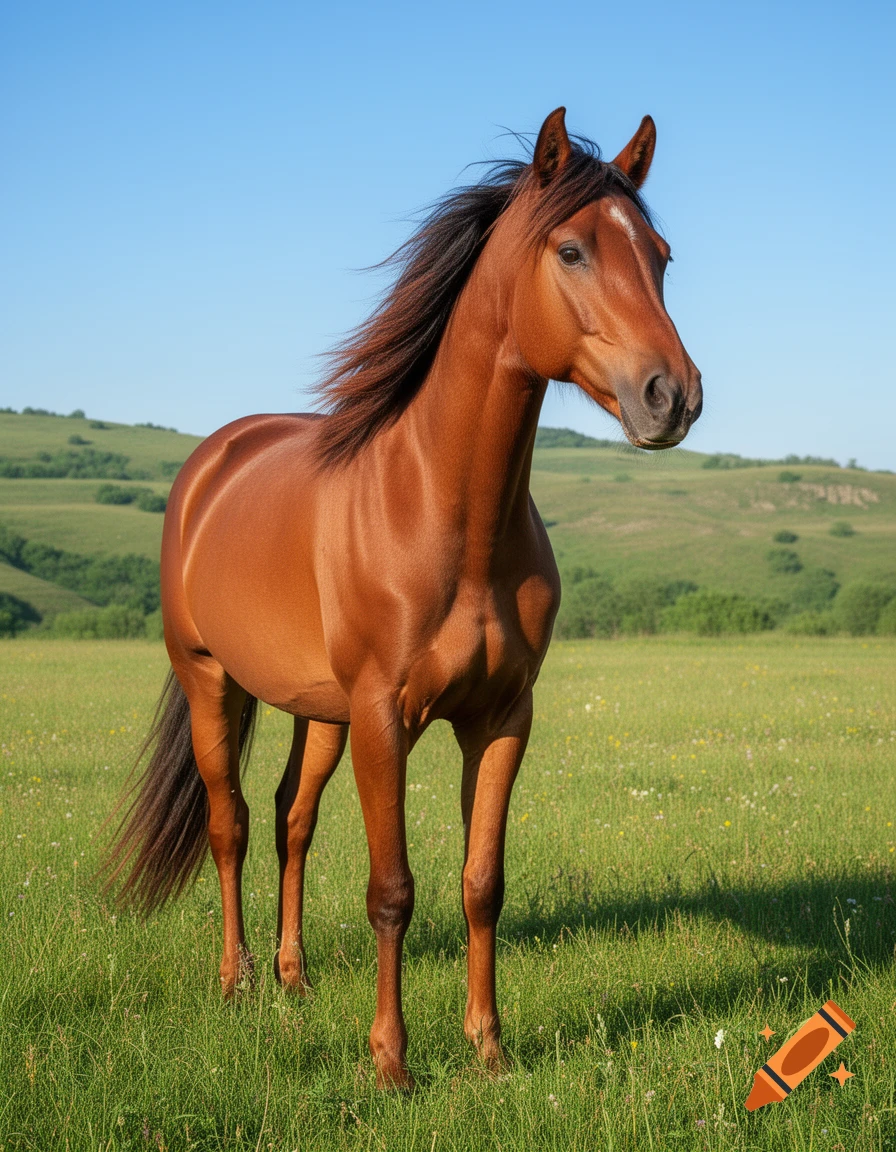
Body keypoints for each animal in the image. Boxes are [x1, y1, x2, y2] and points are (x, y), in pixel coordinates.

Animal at [104, 107, 702, 1089]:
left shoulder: (500, 718)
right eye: (572, 250)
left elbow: (480, 884)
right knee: (231, 825)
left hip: (319, 712)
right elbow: (393, 891)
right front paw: (391, 1061)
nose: (674, 396)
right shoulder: (386, 718)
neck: (446, 516)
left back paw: (295, 978)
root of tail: (212, 462)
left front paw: (489, 1049)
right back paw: (237, 983)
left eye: (660, 255)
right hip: (210, 683)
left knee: (291, 820)